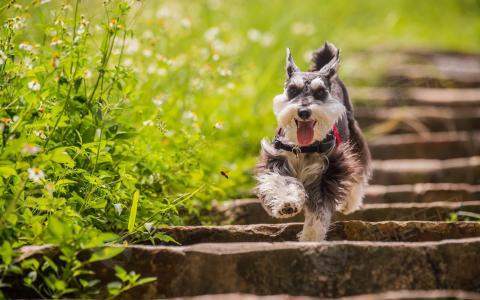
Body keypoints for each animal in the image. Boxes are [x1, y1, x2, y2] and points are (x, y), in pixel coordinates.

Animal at [255, 41, 372, 241]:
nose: (303, 112)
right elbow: (282, 182)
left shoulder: (329, 172)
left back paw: (350, 203)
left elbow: (319, 210)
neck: (303, 147)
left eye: (320, 92)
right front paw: (287, 204)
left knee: (359, 170)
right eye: (292, 90)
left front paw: (311, 237)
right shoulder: (276, 160)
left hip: (354, 138)